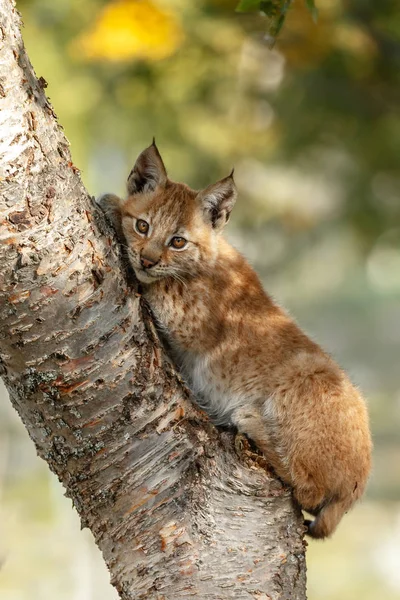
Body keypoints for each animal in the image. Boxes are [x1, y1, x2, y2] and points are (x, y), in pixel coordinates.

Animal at [99, 142, 372, 540]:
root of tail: (358, 489)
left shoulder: (188, 322)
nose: (147, 259)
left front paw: (112, 204)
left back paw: (251, 422)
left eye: (177, 242)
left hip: (309, 373)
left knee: (308, 490)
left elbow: (160, 286)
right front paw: (119, 210)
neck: (207, 255)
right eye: (143, 226)